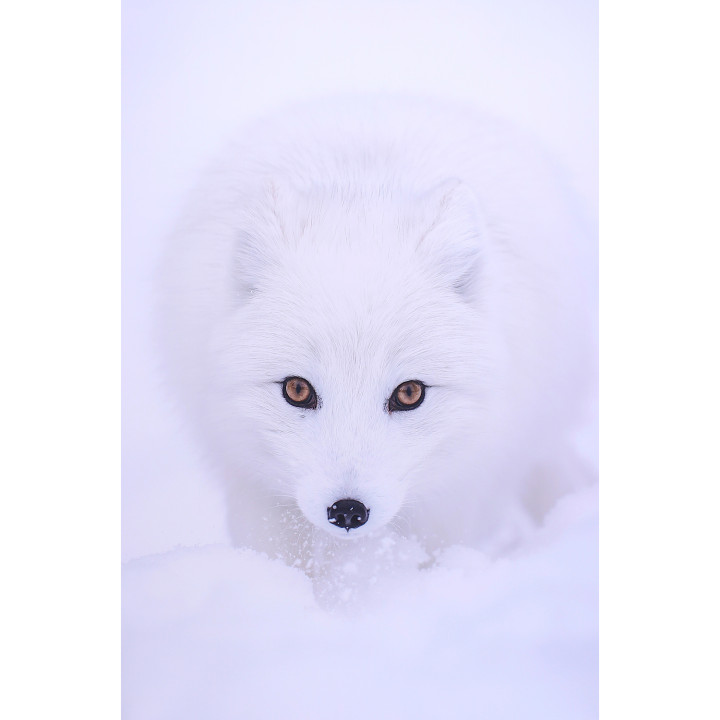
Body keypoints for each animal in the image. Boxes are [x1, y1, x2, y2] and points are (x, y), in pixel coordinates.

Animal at [158, 97, 597, 571]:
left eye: (409, 393)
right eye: (296, 389)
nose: (348, 510)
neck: (363, 193)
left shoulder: (457, 493)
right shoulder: (249, 478)